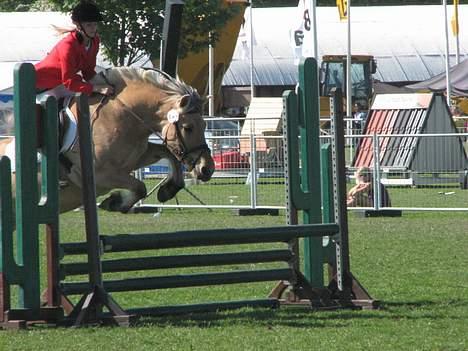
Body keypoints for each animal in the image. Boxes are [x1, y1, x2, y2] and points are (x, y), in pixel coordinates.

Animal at [0, 67, 215, 213]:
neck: (121, 115)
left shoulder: (137, 157)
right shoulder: (101, 175)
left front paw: (168, 190)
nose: (207, 169)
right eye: (188, 128)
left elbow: (168, 153)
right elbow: (140, 186)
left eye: (205, 125)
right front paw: (115, 202)